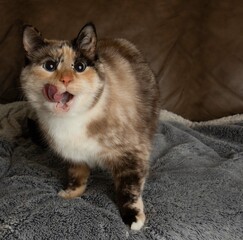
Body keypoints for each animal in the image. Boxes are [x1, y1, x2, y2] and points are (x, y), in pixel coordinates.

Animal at [20, 23, 159, 231]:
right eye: (50, 66)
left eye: (80, 67)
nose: (66, 80)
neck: (71, 121)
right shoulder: (73, 155)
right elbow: (76, 176)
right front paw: (70, 194)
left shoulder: (132, 154)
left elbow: (129, 189)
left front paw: (133, 218)